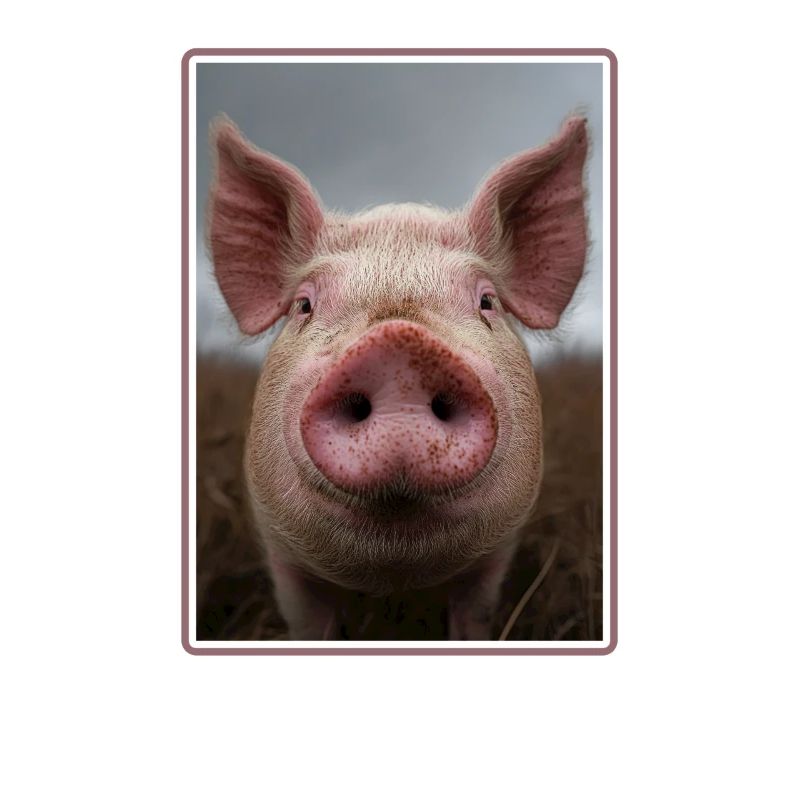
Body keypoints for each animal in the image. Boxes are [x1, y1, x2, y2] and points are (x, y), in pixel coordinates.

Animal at [207, 114, 589, 640]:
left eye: (487, 301)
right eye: (304, 305)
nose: (399, 344)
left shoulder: (495, 556)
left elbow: (473, 618)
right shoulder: (283, 555)